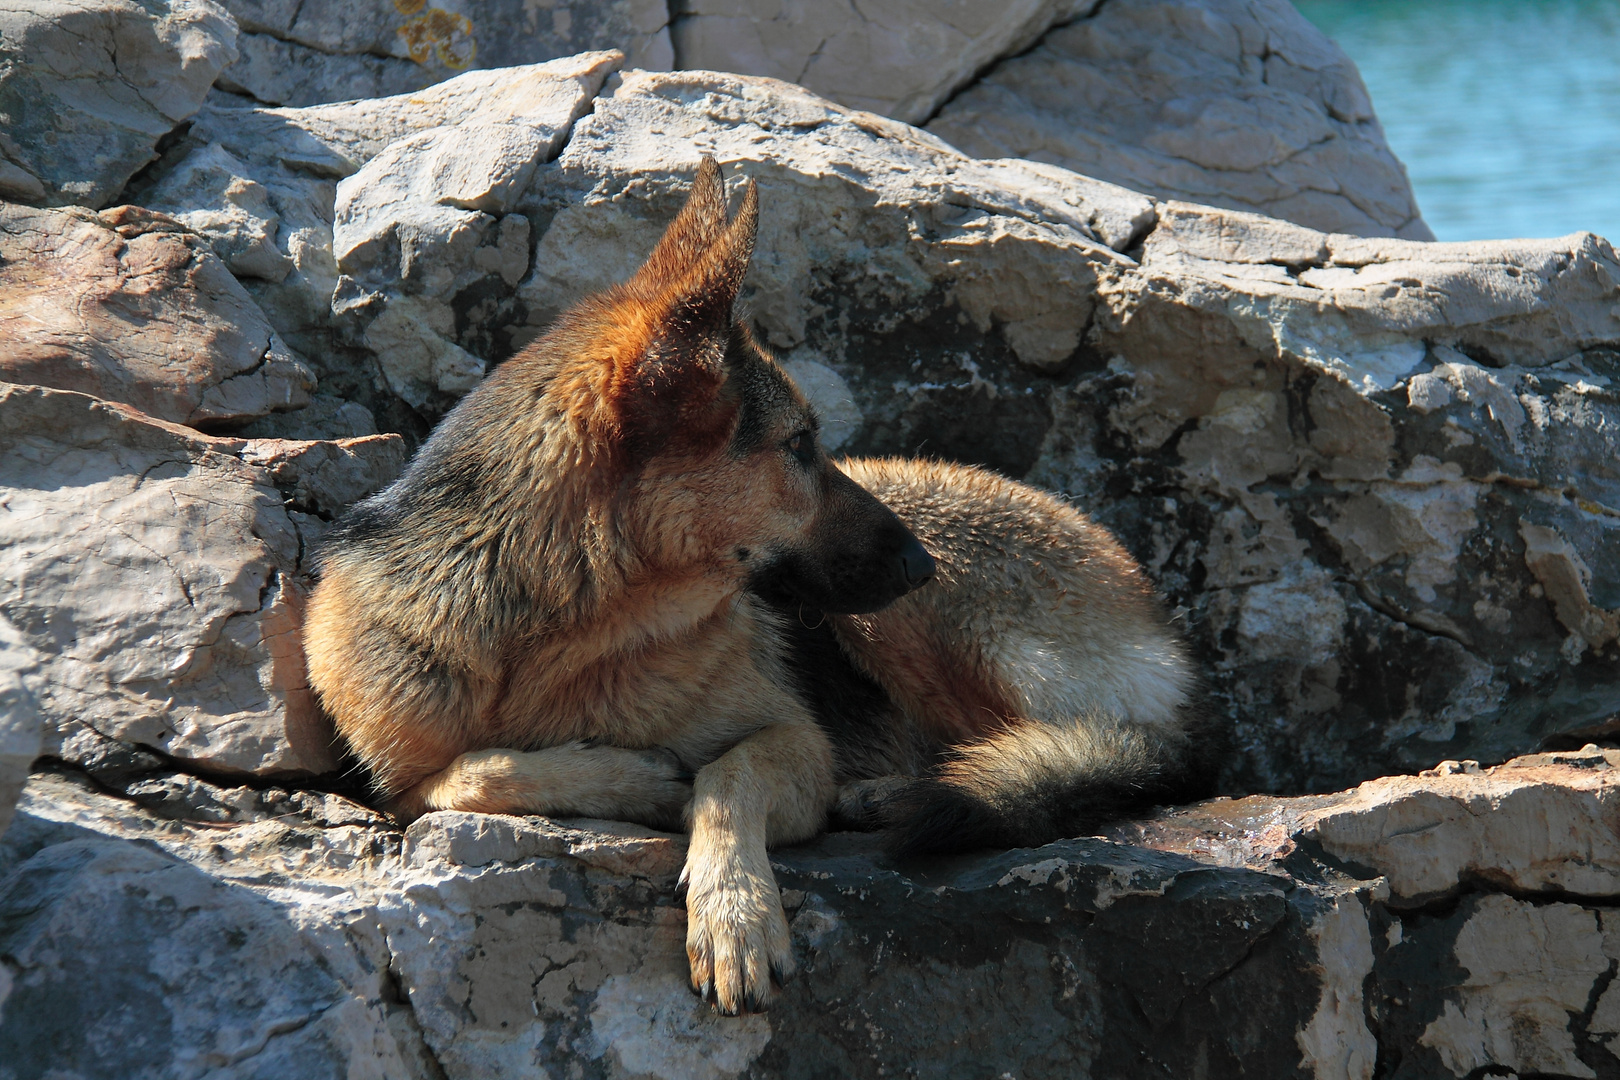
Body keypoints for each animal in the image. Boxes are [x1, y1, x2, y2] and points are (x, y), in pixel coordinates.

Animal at [306, 158, 1205, 1016]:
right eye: (800, 446)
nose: (921, 566)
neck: (558, 641)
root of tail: (1153, 613)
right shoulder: (398, 775)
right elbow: (467, 775)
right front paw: (627, 778)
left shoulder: (796, 741)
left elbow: (726, 778)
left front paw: (733, 915)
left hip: (906, 621)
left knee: (1074, 743)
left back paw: (899, 789)